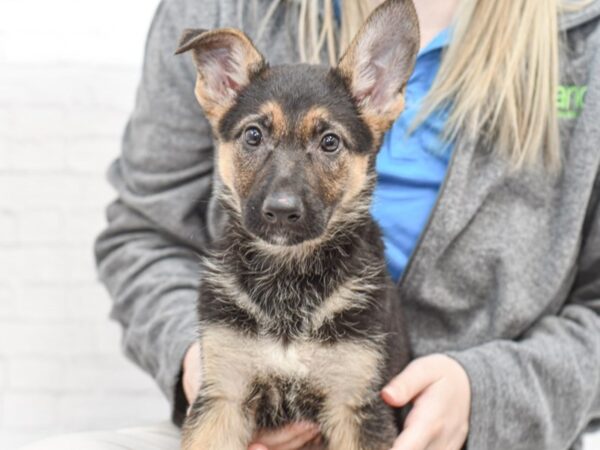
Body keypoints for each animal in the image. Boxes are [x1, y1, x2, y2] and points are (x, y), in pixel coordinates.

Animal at [173, 1, 418, 448]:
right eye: (253, 135)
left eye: (329, 142)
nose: (282, 212)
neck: (288, 280)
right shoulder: (222, 397)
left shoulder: (356, 406)